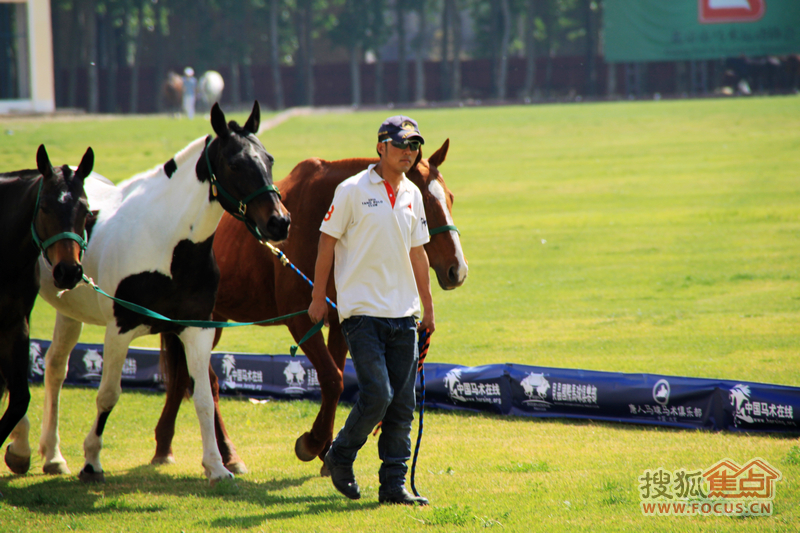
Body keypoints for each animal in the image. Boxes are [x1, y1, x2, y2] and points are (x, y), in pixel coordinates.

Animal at [33, 101, 294, 482]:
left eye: (269, 160)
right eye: (235, 164)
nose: (279, 222)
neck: (165, 243)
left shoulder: (197, 328)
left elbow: (203, 397)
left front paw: (217, 466)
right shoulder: (119, 330)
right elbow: (108, 394)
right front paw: (92, 461)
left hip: (69, 312)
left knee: (54, 367)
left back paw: (52, 456)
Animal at [152, 139, 466, 472]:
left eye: (450, 199)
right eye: (425, 205)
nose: (457, 270)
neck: (319, 223)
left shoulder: (343, 320)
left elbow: (337, 378)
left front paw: (326, 447)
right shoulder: (302, 320)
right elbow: (332, 379)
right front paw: (313, 442)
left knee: (186, 377)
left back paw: (170, 445)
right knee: (205, 382)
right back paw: (223, 452)